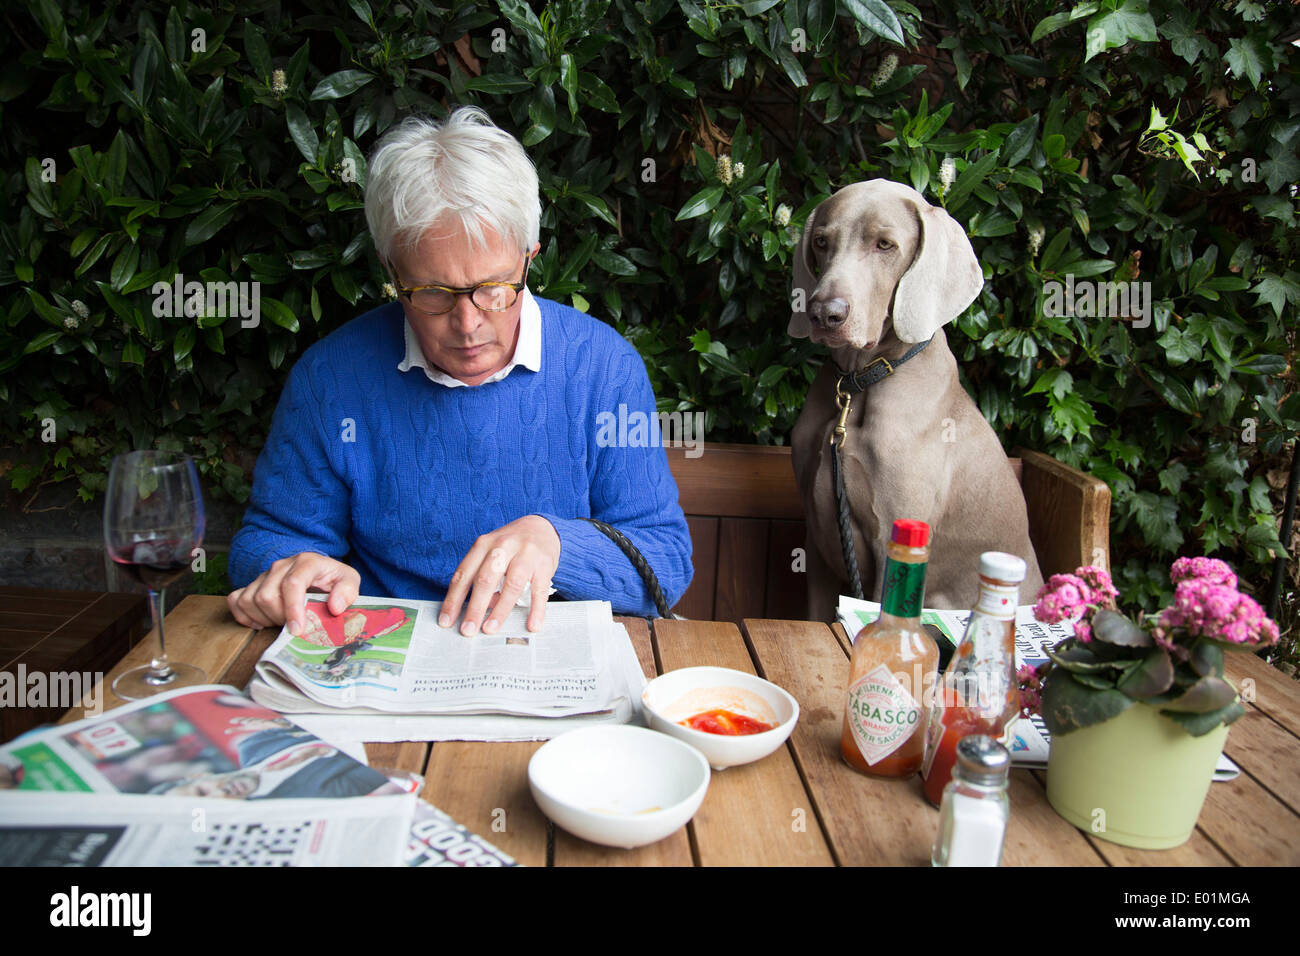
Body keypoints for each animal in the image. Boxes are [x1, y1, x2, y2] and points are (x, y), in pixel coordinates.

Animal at [785, 178, 1040, 613]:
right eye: (820, 241)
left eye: (885, 245)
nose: (824, 314)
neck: (858, 385)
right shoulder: (817, 538)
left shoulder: (892, 541)